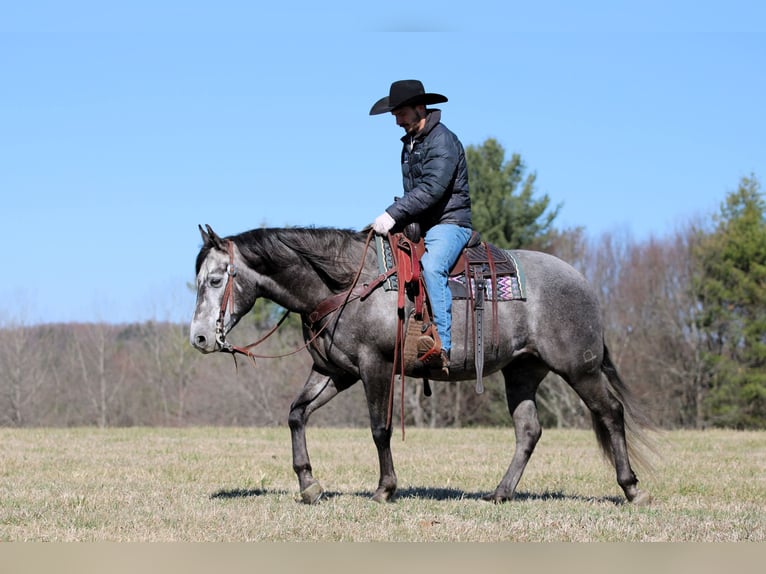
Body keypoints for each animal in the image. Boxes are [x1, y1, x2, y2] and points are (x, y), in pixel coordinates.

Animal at [190, 224, 653, 506]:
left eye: (215, 280)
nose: (199, 338)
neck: (347, 284)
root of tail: (584, 283)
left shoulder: (374, 367)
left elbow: (379, 429)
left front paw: (384, 489)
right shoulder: (335, 373)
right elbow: (296, 414)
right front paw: (309, 485)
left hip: (580, 369)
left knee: (610, 412)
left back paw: (632, 488)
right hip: (522, 371)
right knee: (529, 431)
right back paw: (500, 493)